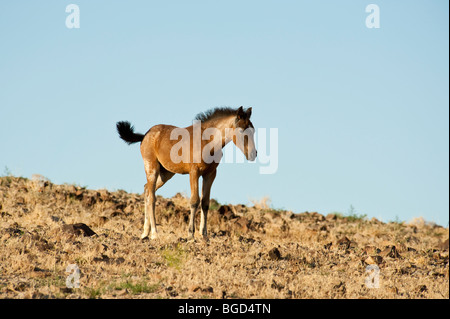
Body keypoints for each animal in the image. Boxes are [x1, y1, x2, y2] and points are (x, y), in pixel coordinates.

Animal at [116, 107, 256, 240]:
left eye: (253, 130)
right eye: (241, 130)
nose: (253, 154)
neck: (207, 141)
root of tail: (145, 135)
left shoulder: (210, 174)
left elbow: (205, 203)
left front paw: (204, 235)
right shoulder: (194, 172)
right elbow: (194, 201)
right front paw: (190, 235)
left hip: (166, 173)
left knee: (146, 189)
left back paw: (145, 233)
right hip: (152, 167)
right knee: (151, 196)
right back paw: (154, 234)